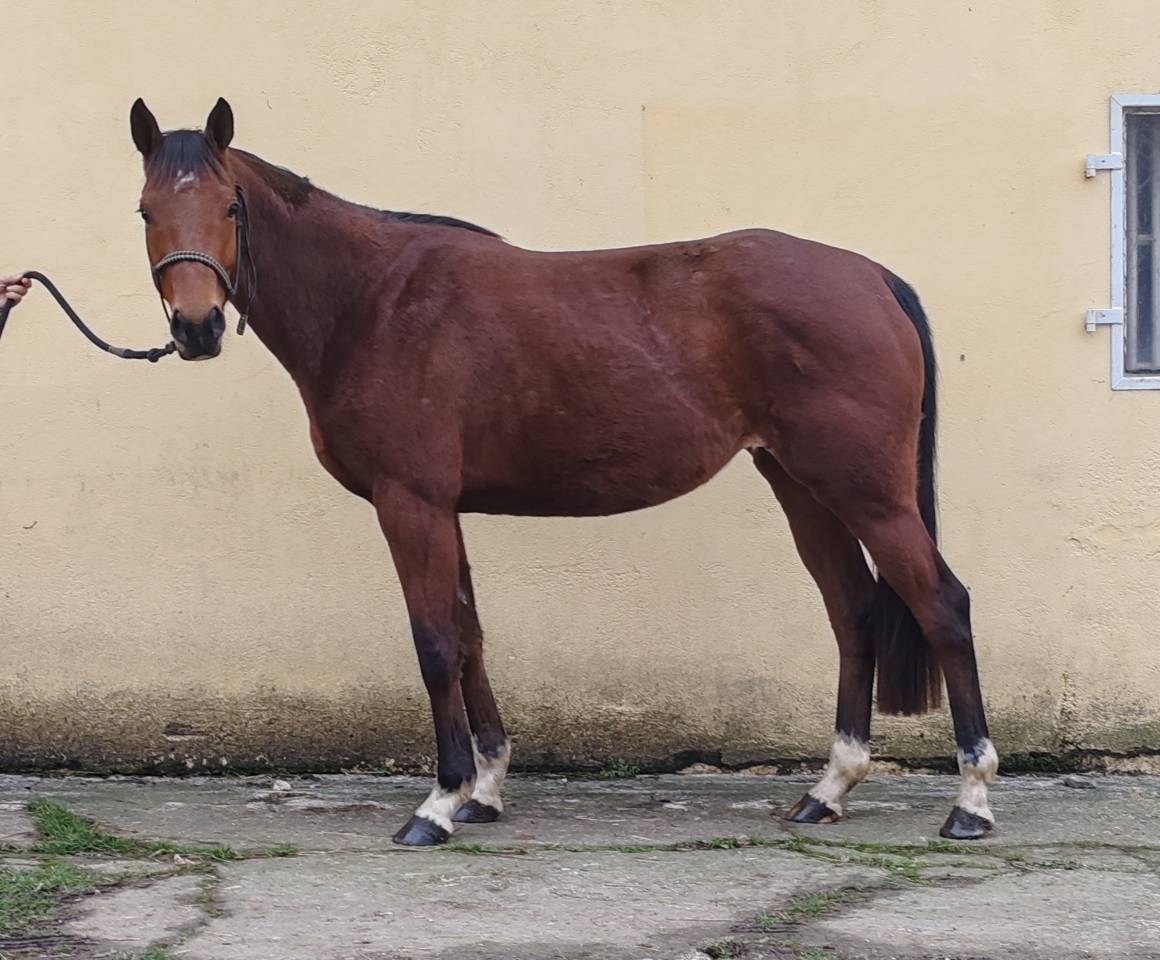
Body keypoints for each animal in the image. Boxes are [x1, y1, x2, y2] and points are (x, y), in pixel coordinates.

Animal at [128, 97, 997, 845]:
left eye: (231, 206)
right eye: (145, 210)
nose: (197, 327)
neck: (372, 301)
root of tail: (871, 277)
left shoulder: (410, 503)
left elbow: (434, 642)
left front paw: (437, 804)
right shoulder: (446, 508)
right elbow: (470, 636)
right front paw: (483, 791)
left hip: (868, 492)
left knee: (942, 605)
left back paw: (971, 802)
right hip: (802, 486)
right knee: (852, 612)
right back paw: (828, 790)